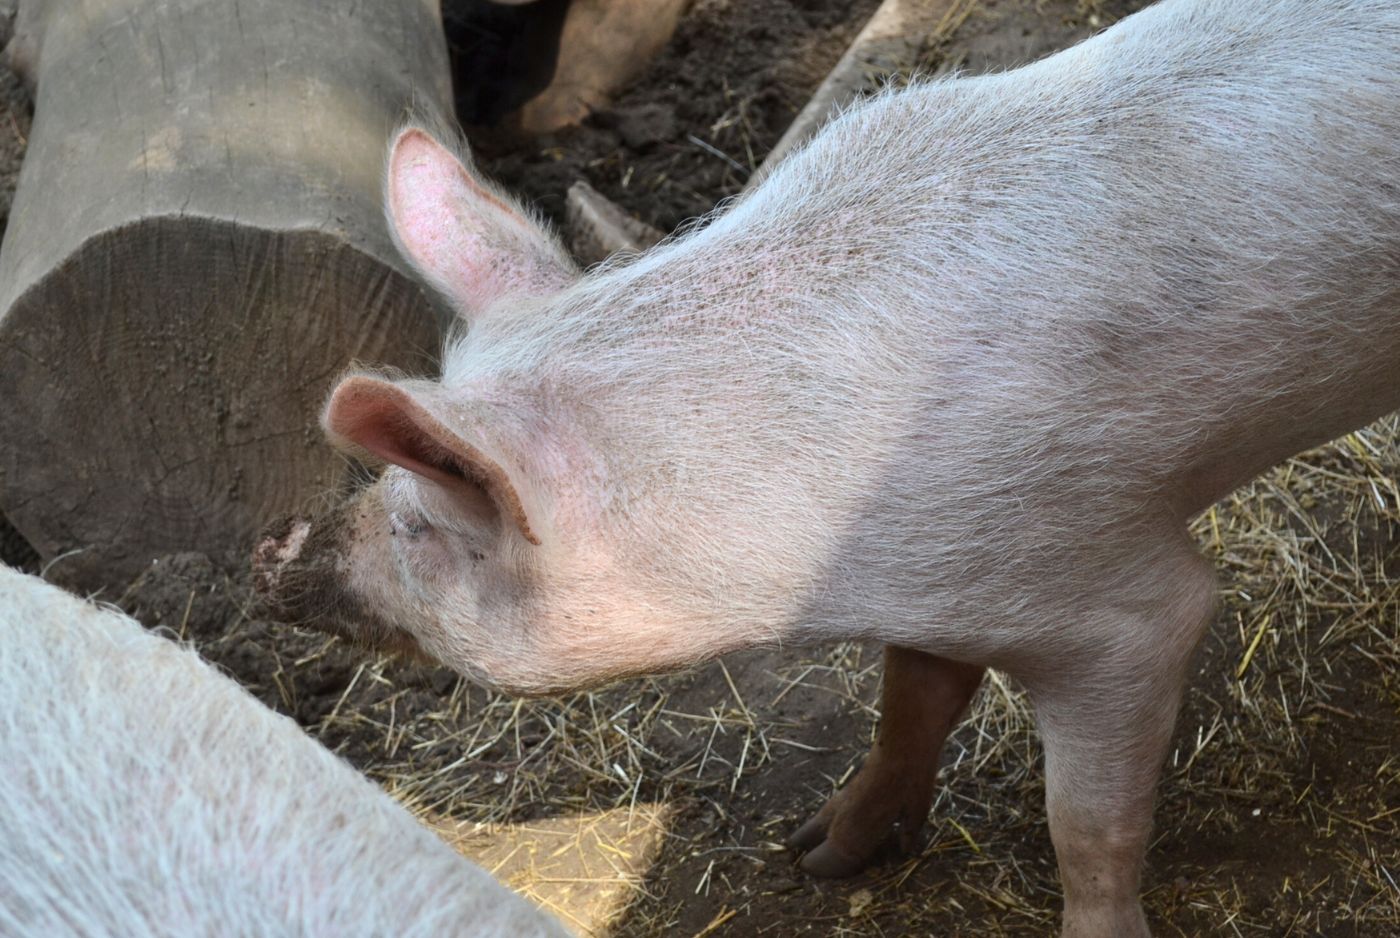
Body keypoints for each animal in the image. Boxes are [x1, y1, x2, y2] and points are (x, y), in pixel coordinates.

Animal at [252, 3, 1400, 935]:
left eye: (418, 527)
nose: (276, 550)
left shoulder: (1126, 607)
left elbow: (1087, 822)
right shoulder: (958, 583)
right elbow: (912, 702)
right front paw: (817, 853)